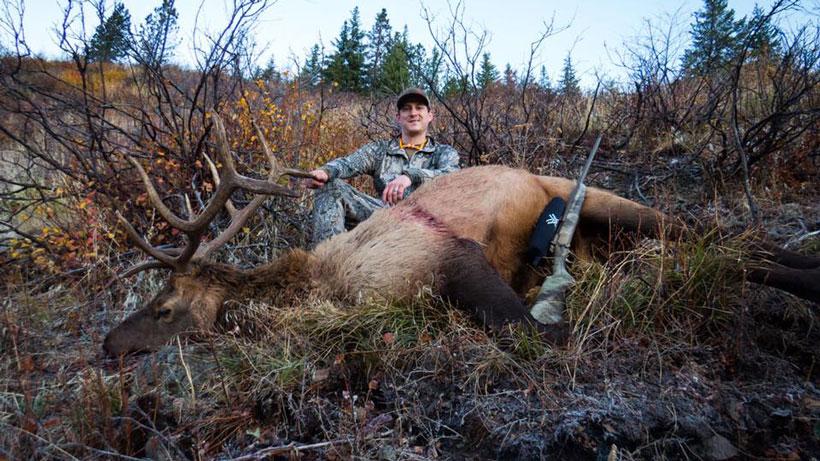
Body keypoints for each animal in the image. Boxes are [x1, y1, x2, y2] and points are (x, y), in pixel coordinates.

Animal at [103, 114, 820, 356]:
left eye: (163, 307)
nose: (108, 346)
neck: (324, 286)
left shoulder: (455, 261)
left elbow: (537, 330)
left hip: (609, 202)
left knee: (721, 238)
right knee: (721, 245)